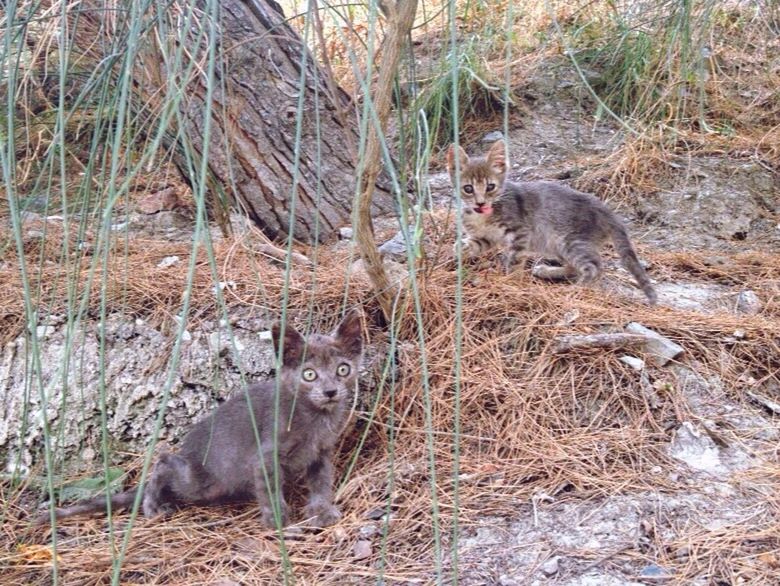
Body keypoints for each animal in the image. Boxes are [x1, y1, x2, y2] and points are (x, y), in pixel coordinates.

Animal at [444, 139, 660, 304]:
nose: (480, 203)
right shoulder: (486, 237)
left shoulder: (520, 233)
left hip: (570, 240)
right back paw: (547, 271)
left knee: (595, 267)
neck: (483, 215)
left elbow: (514, 260)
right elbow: (470, 244)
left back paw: (575, 290)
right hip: (556, 244)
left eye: (490, 187)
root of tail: (607, 211)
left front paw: (510, 282)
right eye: (468, 188)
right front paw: (460, 248)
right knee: (574, 267)